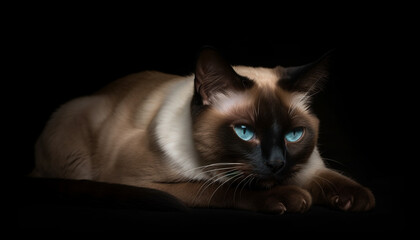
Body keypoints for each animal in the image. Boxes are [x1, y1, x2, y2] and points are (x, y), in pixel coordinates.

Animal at [32, 47, 374, 213]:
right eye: (244, 132)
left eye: (294, 135)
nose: (276, 163)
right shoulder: (142, 181)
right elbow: (218, 188)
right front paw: (292, 198)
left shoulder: (309, 167)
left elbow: (331, 178)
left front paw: (358, 199)